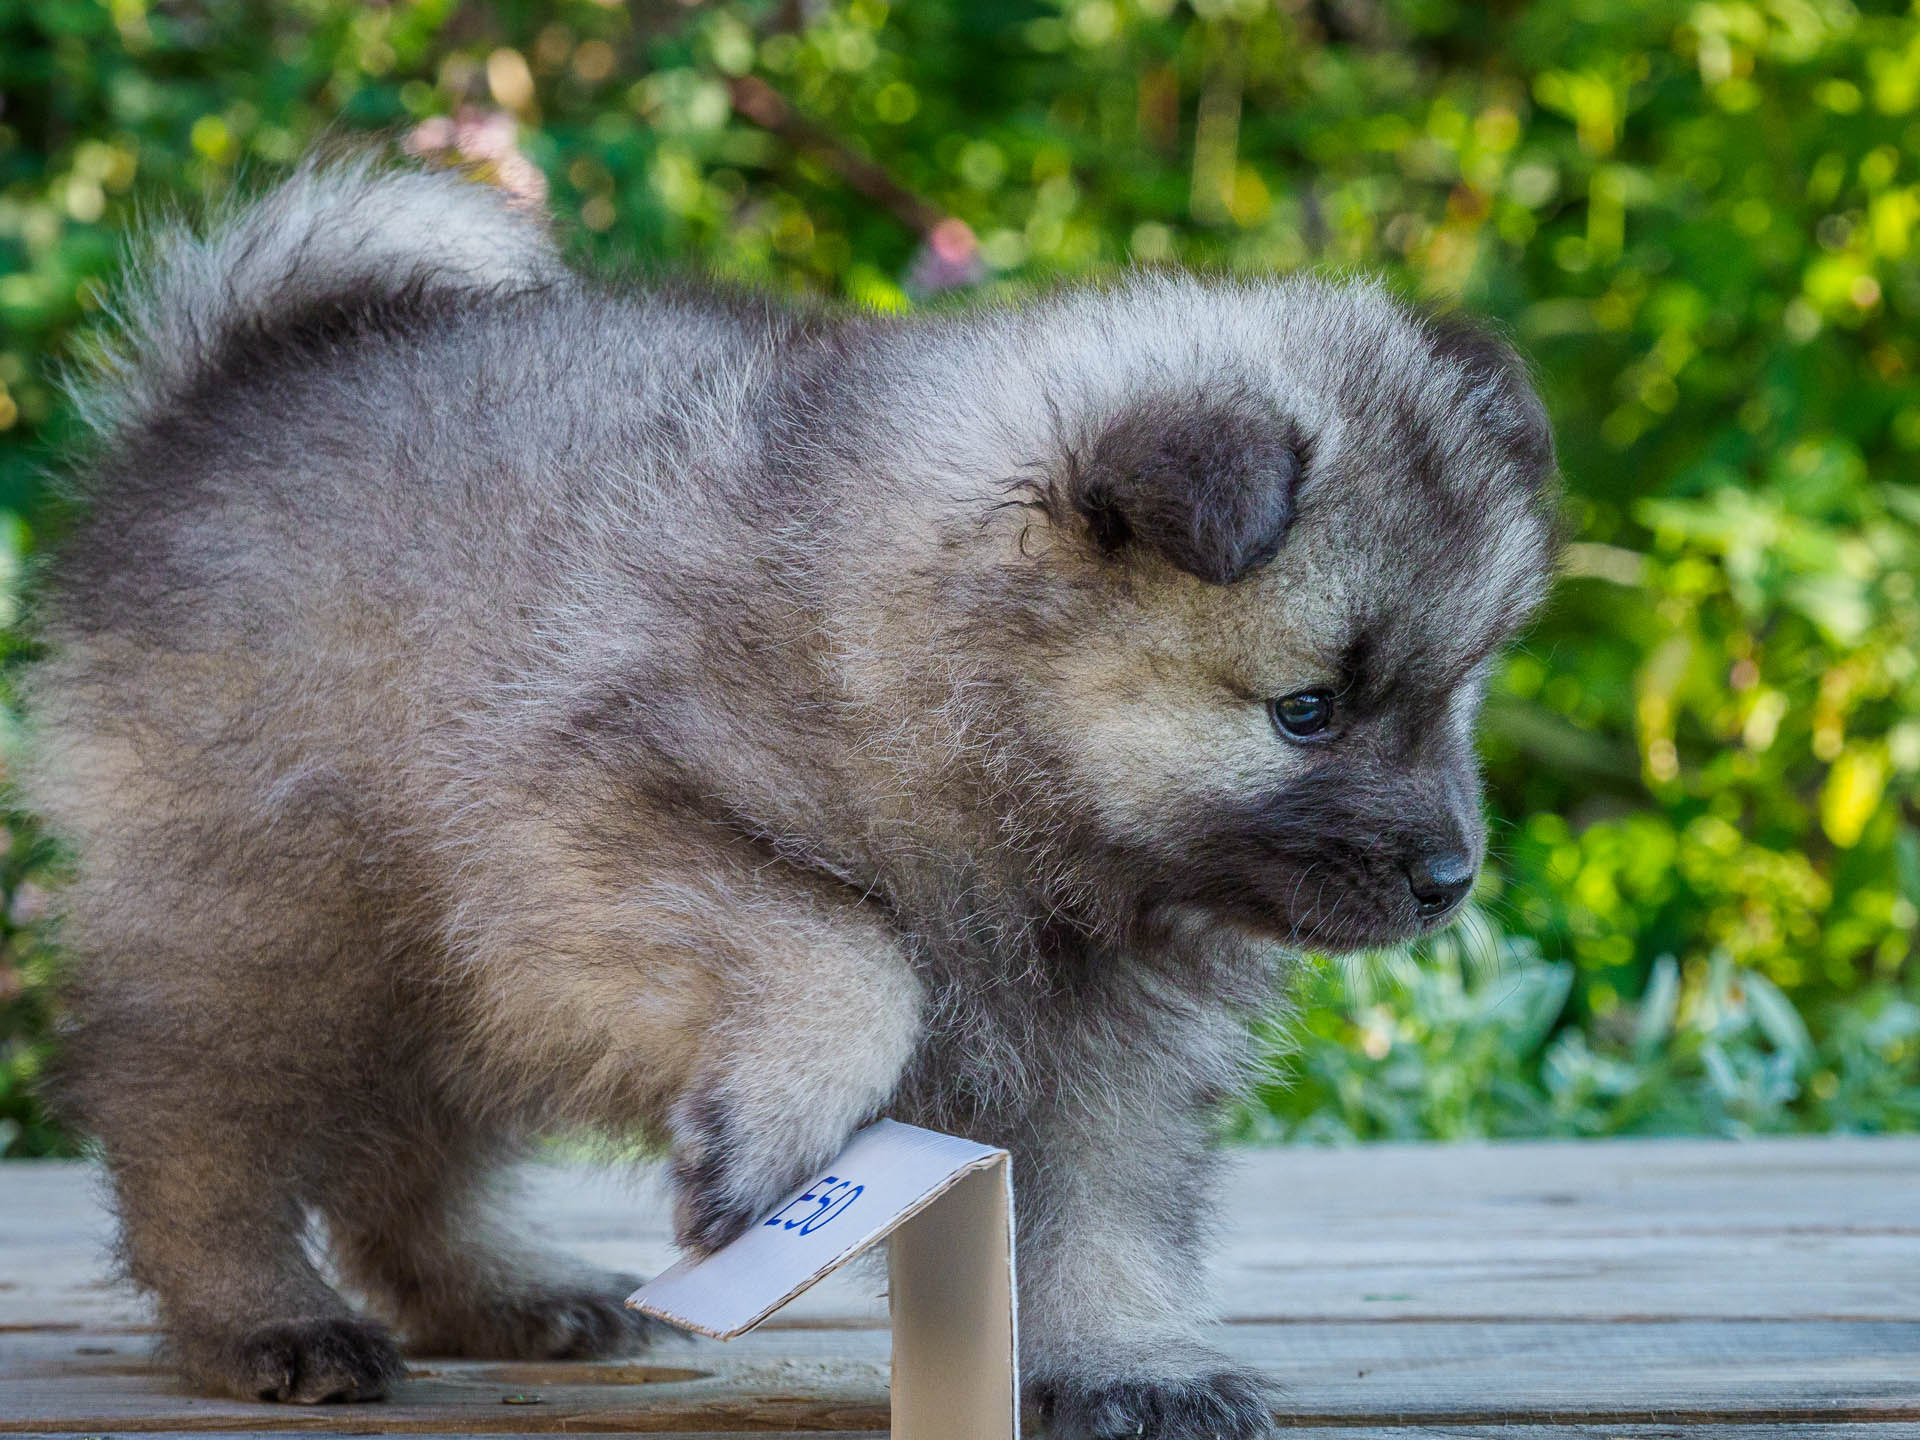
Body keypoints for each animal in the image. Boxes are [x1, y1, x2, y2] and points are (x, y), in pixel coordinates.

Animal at [26, 152, 1559, 1436]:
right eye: (1307, 712)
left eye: (1460, 694)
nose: (1451, 880)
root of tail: (222, 392)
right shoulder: (569, 834)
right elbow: (846, 944)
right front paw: (773, 1141)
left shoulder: (1105, 1043)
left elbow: (1106, 1210)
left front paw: (1123, 1360)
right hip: (287, 917)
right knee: (195, 1128)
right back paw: (263, 1321)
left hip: (426, 980)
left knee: (410, 1161)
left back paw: (507, 1293)